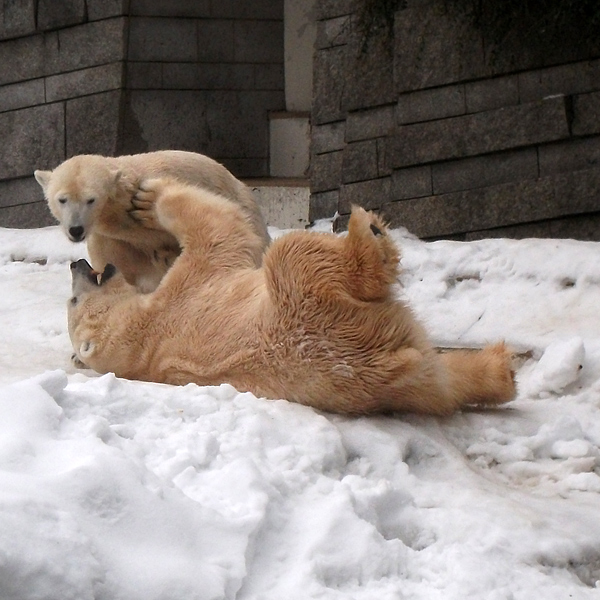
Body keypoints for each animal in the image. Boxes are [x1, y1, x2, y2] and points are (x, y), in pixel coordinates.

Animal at [67, 176, 516, 414]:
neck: (142, 338)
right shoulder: (189, 288)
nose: (76, 266)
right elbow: (219, 230)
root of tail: (379, 363)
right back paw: (366, 232)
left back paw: (499, 372)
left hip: (397, 383)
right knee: (295, 252)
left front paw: (141, 202)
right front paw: (151, 199)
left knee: (442, 380)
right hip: (314, 308)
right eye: (72, 304)